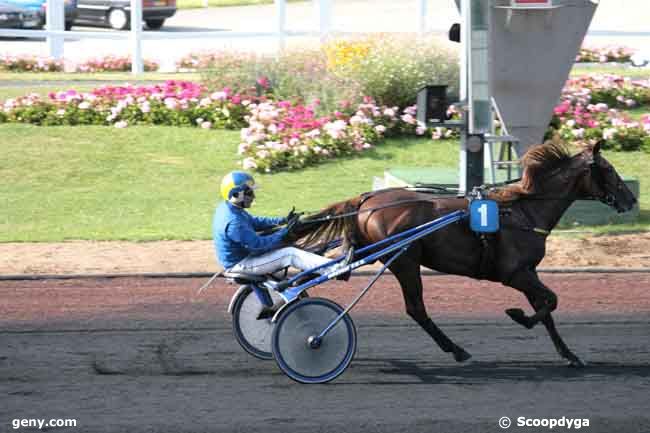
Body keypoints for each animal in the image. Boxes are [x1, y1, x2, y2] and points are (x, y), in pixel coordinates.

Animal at [292, 140, 636, 366]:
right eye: (608, 169)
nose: (631, 199)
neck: (524, 212)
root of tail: (367, 199)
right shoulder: (515, 273)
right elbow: (550, 301)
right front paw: (517, 315)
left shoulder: (528, 271)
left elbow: (547, 308)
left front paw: (569, 354)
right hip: (405, 262)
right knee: (416, 309)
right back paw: (456, 349)